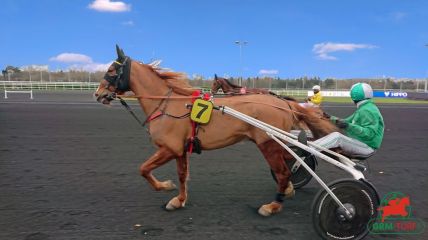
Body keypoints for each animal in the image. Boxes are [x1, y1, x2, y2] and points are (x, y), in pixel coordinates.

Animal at [94, 46, 338, 217]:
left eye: (112, 70)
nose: (98, 94)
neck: (166, 104)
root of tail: (284, 103)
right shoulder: (180, 150)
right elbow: (182, 175)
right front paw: (178, 200)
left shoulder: (169, 148)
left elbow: (143, 169)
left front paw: (164, 186)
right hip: (276, 143)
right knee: (291, 161)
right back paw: (287, 190)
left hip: (268, 143)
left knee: (284, 171)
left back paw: (273, 205)